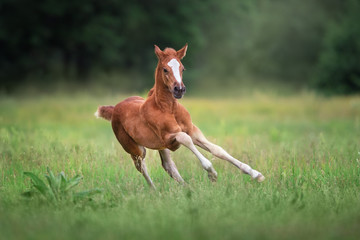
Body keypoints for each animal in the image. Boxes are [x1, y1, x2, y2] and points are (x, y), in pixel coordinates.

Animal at [95, 44, 264, 188]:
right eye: (165, 69)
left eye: (183, 68)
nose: (179, 89)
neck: (169, 108)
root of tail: (115, 108)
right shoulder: (170, 137)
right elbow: (186, 139)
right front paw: (212, 173)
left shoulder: (192, 130)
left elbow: (218, 150)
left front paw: (255, 174)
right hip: (135, 149)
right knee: (141, 166)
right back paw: (155, 191)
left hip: (160, 147)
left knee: (168, 165)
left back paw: (185, 187)